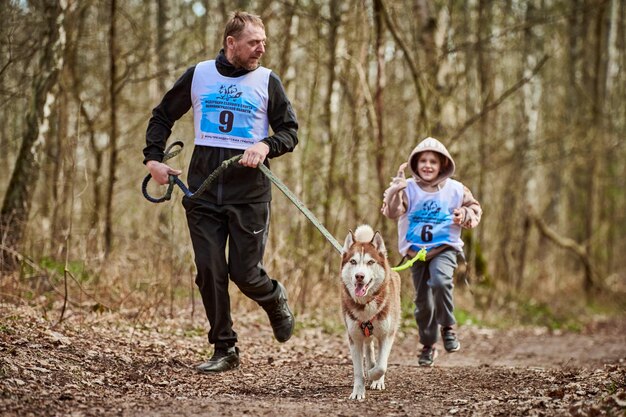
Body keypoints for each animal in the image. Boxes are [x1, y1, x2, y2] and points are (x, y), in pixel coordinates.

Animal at [342, 224, 400, 400]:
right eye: (353, 261)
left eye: (370, 262)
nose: (359, 276)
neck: (366, 305)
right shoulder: (354, 338)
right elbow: (358, 371)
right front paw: (358, 391)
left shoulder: (387, 335)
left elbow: (382, 366)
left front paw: (374, 376)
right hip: (365, 334)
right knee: (369, 348)